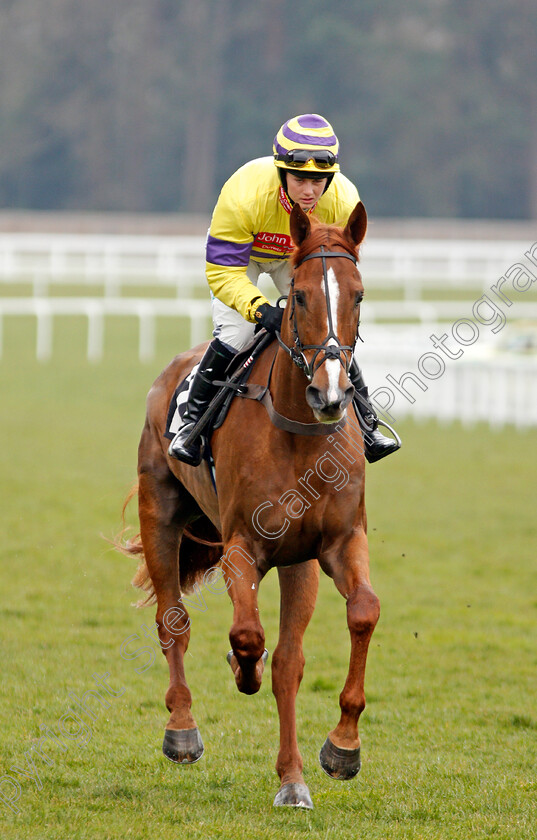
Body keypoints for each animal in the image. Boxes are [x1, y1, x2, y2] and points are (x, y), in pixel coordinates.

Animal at [120, 200, 382, 812]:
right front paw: (244, 670)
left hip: (294, 559)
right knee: (172, 621)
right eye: (301, 296)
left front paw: (337, 752)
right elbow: (247, 635)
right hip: (160, 511)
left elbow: (354, 617)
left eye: (359, 294)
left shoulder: (330, 544)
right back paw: (183, 729)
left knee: (286, 657)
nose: (330, 395)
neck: (300, 433)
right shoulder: (243, 545)